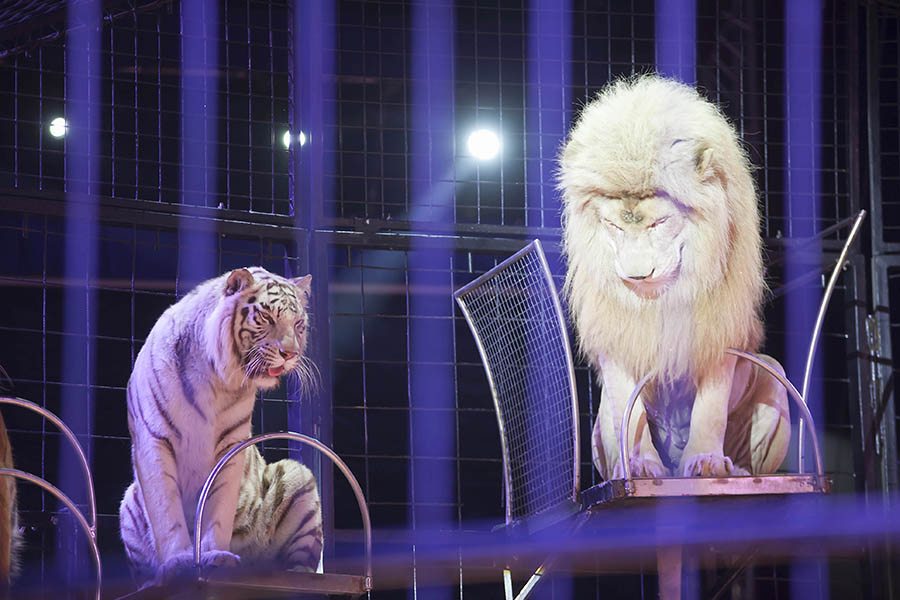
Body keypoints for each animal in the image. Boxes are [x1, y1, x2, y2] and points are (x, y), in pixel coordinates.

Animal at [118, 268, 324, 584]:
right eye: (267, 317)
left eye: (299, 324)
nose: (290, 353)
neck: (213, 375)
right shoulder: (153, 438)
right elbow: (166, 510)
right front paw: (177, 562)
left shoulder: (231, 445)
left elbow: (219, 508)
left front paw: (215, 556)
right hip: (129, 502)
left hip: (297, 475)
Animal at [556, 75, 788, 478]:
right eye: (614, 225)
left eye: (660, 221)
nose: (638, 275)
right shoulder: (615, 334)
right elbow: (627, 410)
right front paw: (640, 465)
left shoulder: (719, 324)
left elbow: (711, 410)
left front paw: (708, 461)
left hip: (776, 378)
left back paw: (739, 471)